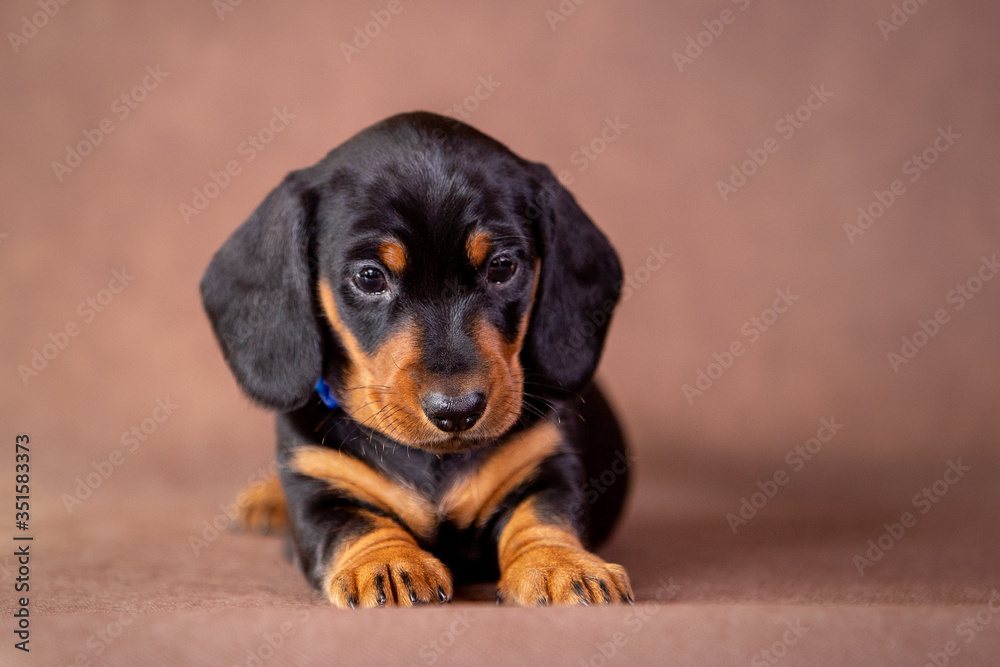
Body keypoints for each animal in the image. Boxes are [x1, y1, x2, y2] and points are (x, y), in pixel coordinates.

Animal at [199, 112, 628, 608]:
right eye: (370, 277)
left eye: (502, 267)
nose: (457, 411)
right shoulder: (319, 485)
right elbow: (357, 523)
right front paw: (386, 562)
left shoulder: (549, 464)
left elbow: (544, 516)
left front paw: (559, 563)